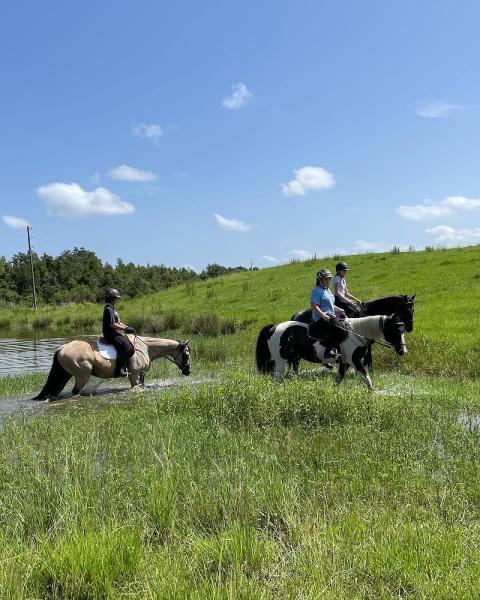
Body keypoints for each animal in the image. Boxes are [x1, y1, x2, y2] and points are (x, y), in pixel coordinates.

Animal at [30, 336, 189, 400]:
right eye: (186, 354)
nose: (188, 371)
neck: (144, 348)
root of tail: (61, 348)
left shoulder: (141, 375)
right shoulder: (134, 374)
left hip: (63, 375)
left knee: (55, 391)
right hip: (82, 376)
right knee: (75, 392)